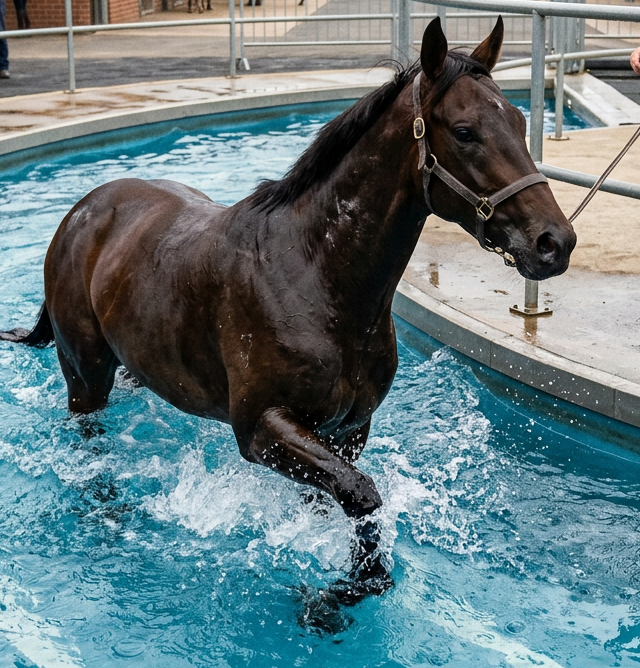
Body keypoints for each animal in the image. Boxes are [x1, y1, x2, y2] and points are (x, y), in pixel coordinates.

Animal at [0, 17, 576, 612]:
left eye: (518, 120)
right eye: (464, 132)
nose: (555, 242)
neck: (313, 278)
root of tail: (82, 211)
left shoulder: (346, 430)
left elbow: (342, 497)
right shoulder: (261, 427)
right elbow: (362, 494)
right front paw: (345, 592)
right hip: (84, 375)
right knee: (88, 440)